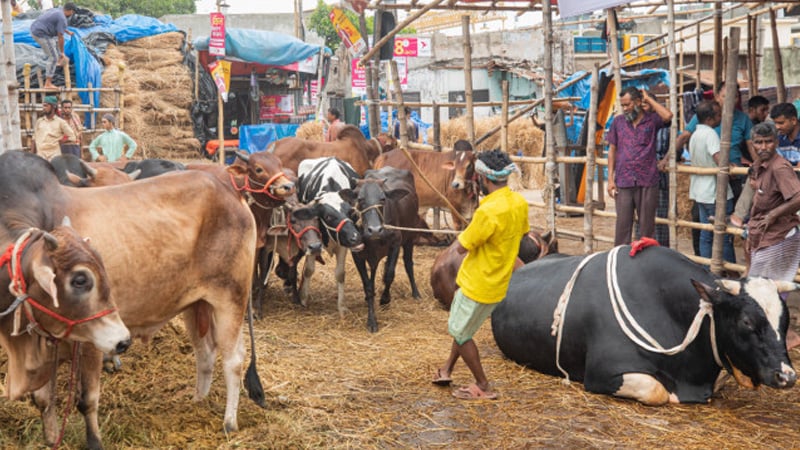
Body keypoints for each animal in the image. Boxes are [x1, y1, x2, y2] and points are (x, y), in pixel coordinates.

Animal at [296, 158, 364, 316]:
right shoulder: (312, 241)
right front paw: (303, 299)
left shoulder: (343, 244)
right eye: (328, 216)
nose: (355, 237)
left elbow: (340, 273)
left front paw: (341, 306)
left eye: (351, 212)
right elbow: (308, 270)